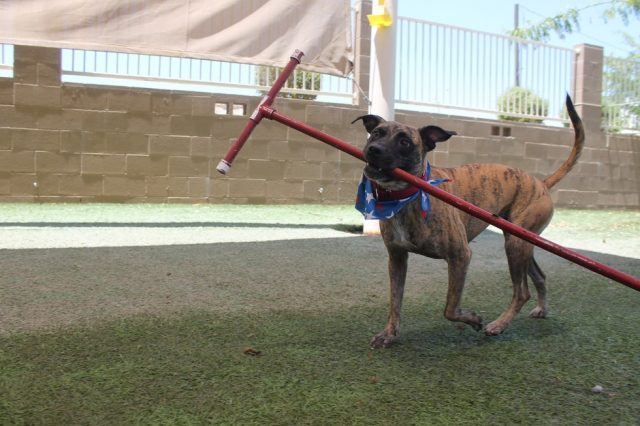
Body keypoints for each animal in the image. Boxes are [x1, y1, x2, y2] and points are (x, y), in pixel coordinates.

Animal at [356, 95, 584, 348]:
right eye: (376, 133)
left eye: (405, 142)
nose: (373, 150)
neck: (408, 196)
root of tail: (541, 183)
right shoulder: (397, 259)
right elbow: (395, 302)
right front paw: (389, 333)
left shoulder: (460, 256)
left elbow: (449, 308)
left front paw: (474, 319)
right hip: (522, 243)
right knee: (539, 277)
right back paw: (541, 309)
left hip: (515, 245)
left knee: (521, 291)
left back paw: (498, 325)